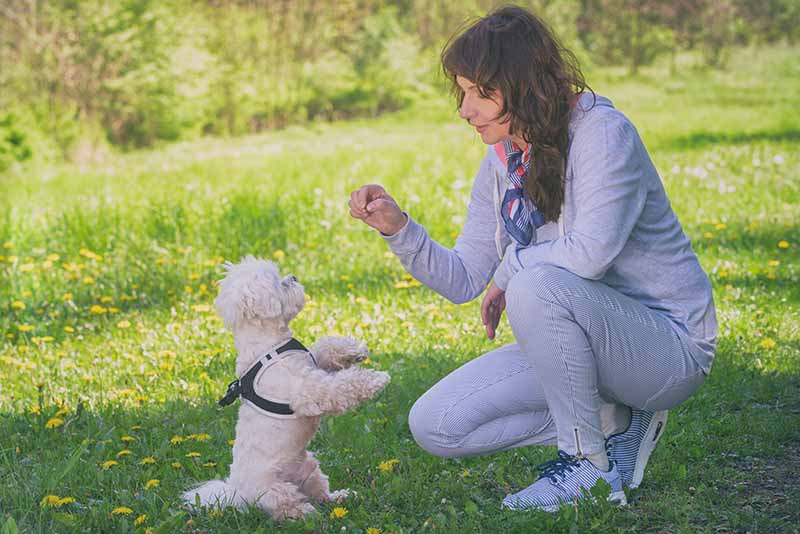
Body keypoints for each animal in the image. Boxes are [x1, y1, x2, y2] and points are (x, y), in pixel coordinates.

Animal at [184, 258, 390, 520]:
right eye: (278, 282)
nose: (293, 277)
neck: (270, 345)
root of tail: (236, 493)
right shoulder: (309, 390)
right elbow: (341, 385)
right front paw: (376, 380)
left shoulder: (313, 363)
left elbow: (324, 346)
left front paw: (353, 350)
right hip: (275, 490)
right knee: (288, 506)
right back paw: (306, 513)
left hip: (310, 468)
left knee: (320, 493)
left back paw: (340, 497)